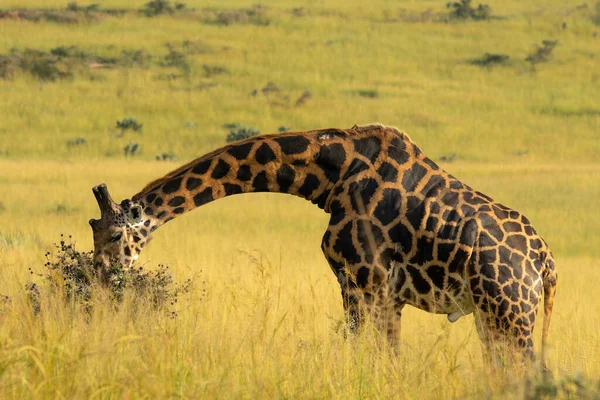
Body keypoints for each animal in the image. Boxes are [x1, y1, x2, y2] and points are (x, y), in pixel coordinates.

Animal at [89, 123, 556, 370]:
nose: (97, 281)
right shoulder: (378, 290)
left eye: (112, 236)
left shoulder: (365, 280)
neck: (330, 175)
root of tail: (546, 262)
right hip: (493, 317)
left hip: (511, 313)